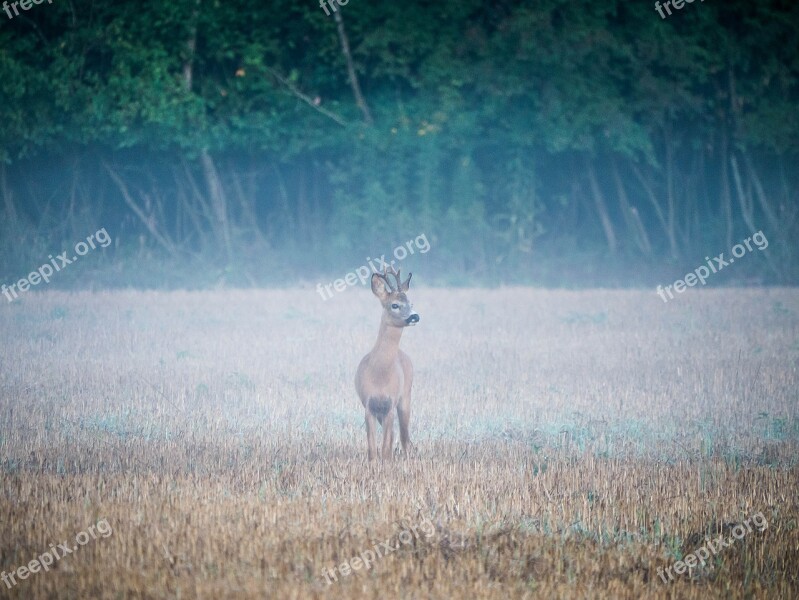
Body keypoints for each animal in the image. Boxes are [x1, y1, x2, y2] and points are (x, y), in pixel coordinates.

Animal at [354, 266, 418, 460]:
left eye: (411, 303)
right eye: (395, 305)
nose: (415, 316)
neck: (379, 374)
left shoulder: (390, 404)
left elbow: (385, 449)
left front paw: (387, 463)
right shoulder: (369, 405)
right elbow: (372, 449)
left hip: (405, 397)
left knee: (404, 437)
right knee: (398, 436)